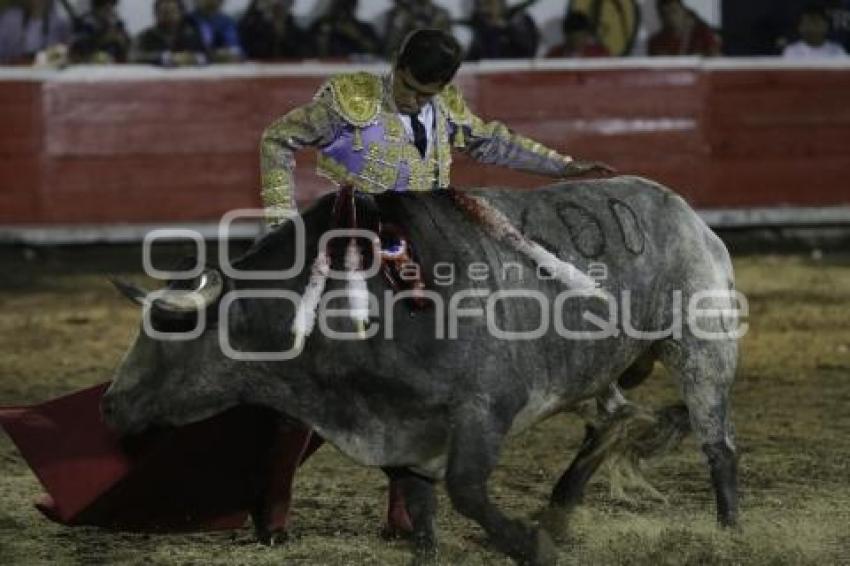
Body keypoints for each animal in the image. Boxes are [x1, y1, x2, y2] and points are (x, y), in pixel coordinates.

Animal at [101, 176, 736, 566]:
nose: (110, 403)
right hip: (599, 370)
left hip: (702, 348)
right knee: (611, 423)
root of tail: (685, 212)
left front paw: (531, 547)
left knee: (718, 445)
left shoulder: (484, 408)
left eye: (170, 335)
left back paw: (728, 533)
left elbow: (465, 491)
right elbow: (421, 501)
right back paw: (558, 512)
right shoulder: (401, 428)